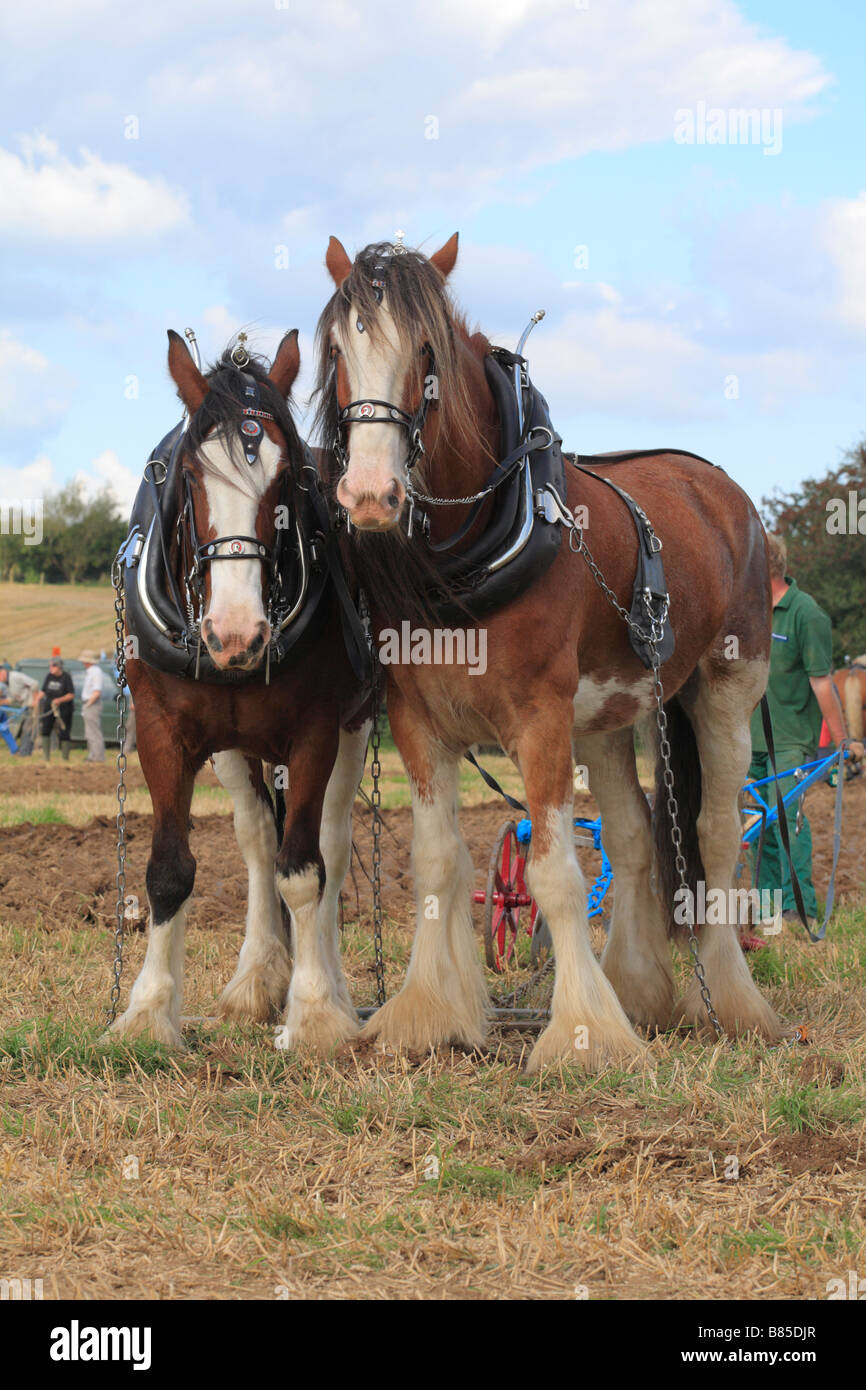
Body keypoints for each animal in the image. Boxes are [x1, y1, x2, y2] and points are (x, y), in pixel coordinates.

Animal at [109, 330, 369, 1050]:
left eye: (288, 479)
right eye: (191, 475)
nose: (235, 633)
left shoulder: (316, 730)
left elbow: (305, 871)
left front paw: (314, 1014)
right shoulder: (161, 731)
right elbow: (170, 870)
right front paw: (148, 1013)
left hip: (355, 726)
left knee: (330, 844)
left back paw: (328, 985)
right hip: (234, 747)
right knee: (256, 839)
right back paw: (256, 979)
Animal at [316, 233, 783, 1067]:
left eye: (426, 350)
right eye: (337, 348)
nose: (369, 494)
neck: (464, 557)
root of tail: (718, 487)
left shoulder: (538, 718)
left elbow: (555, 873)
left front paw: (583, 1037)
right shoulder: (416, 718)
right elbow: (437, 862)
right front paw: (425, 1014)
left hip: (727, 690)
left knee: (715, 835)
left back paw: (733, 1001)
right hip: (606, 716)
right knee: (633, 836)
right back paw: (640, 990)